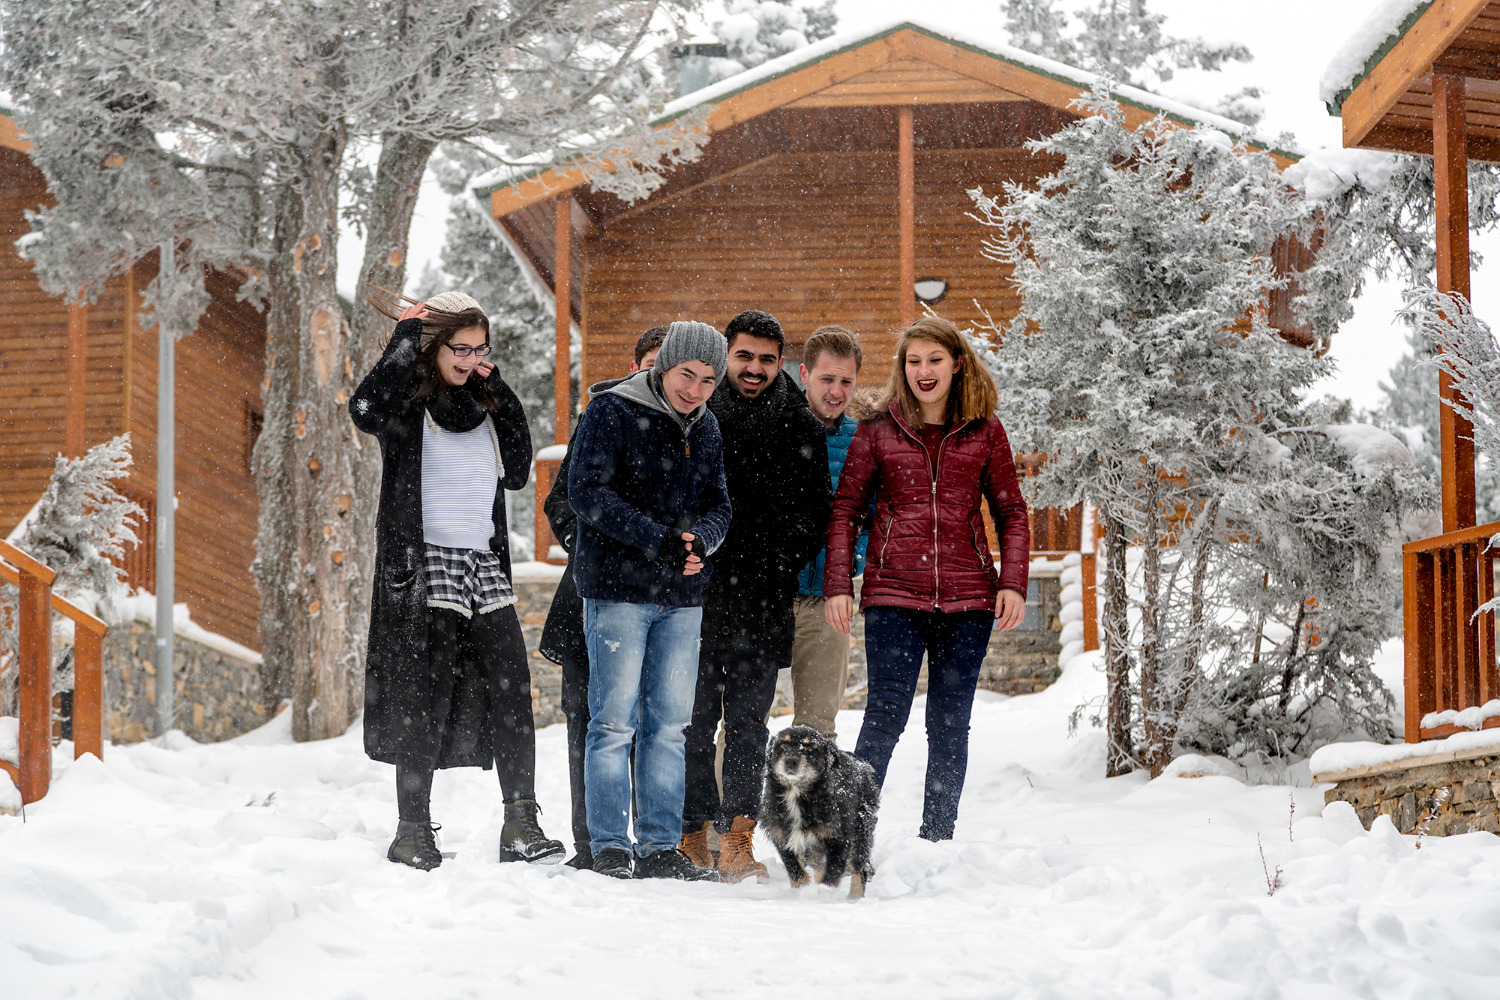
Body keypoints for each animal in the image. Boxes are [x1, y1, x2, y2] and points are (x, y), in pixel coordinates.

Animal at [762, 728, 876, 899]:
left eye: (809, 748)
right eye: (782, 745)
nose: (791, 761)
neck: (797, 792)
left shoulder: (839, 838)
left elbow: (833, 872)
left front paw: (823, 893)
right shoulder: (781, 834)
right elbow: (793, 867)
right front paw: (801, 889)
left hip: (860, 832)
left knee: (859, 867)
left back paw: (854, 898)